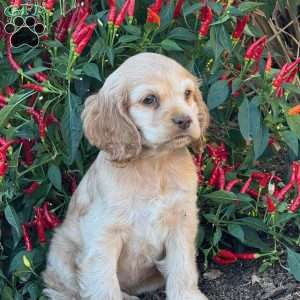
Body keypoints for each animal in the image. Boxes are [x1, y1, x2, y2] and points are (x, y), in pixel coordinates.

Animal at [43, 52, 210, 298]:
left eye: (187, 94)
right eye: (149, 99)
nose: (186, 120)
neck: (155, 164)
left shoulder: (182, 220)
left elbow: (183, 267)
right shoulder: (103, 235)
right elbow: (103, 284)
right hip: (61, 252)